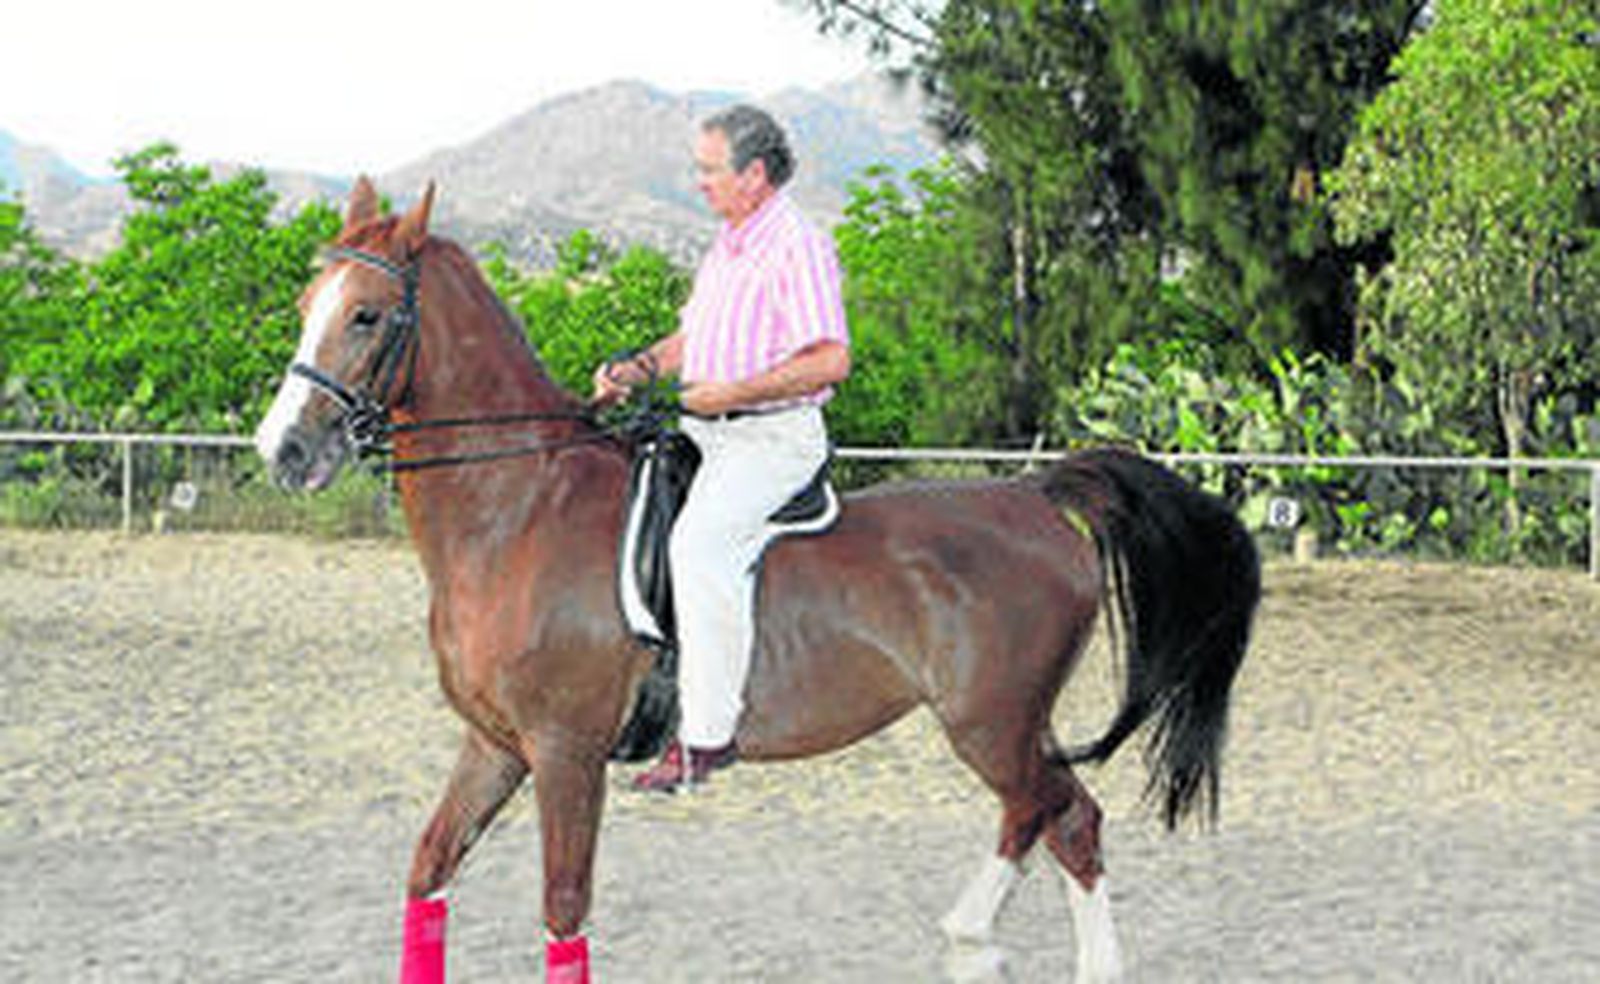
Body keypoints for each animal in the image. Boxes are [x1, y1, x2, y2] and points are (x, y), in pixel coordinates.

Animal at [254, 179, 1260, 983]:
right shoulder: (496, 745)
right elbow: (428, 870)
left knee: (1062, 814)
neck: (521, 507)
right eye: (308, 300)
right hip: (1011, 722)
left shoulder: (564, 754)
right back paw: (977, 938)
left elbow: (564, 910)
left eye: (367, 315)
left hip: (990, 722)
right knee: (1049, 816)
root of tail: (1034, 493)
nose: (284, 450)